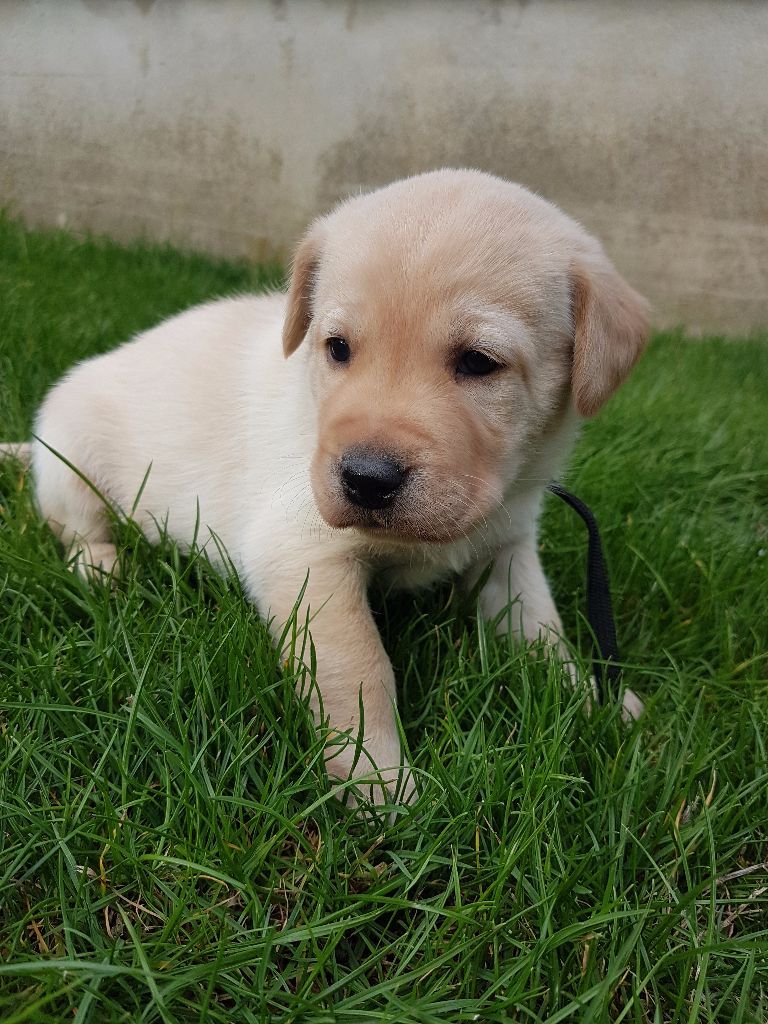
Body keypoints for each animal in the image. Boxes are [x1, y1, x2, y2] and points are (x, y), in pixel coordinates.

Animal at [1, 169, 649, 804]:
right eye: (337, 348)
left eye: (479, 362)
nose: (365, 479)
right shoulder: (305, 554)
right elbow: (356, 670)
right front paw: (379, 781)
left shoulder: (507, 547)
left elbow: (542, 629)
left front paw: (591, 699)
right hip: (71, 456)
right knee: (76, 526)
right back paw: (101, 566)